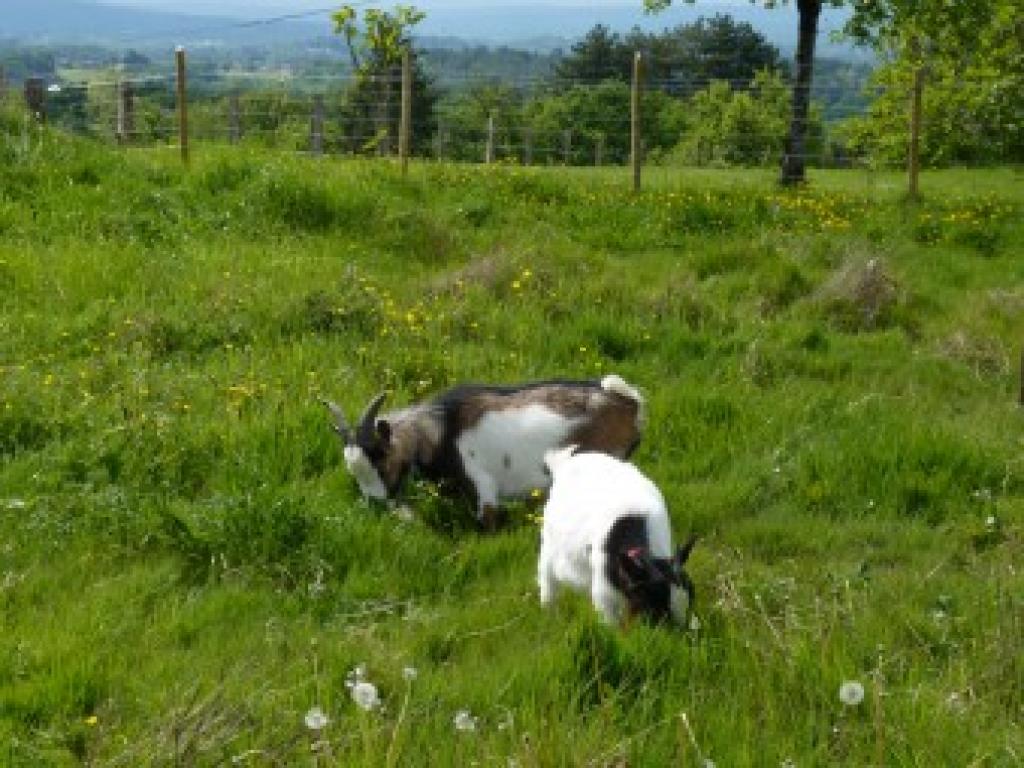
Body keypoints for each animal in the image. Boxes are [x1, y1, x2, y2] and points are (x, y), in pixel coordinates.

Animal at [319, 374, 643, 528]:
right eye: (354, 472)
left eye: (382, 460)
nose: (375, 505)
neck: (441, 431)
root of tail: (628, 403)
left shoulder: (484, 489)